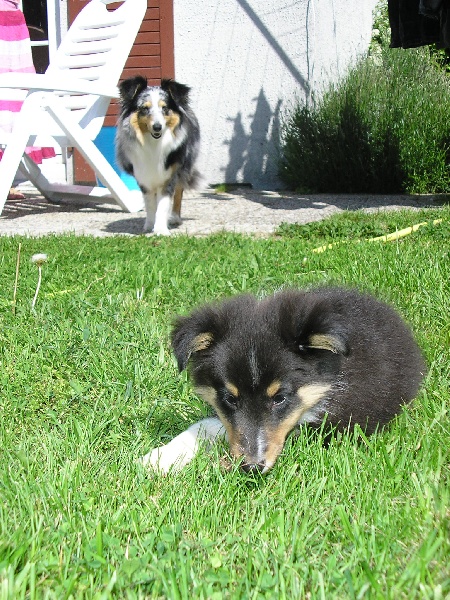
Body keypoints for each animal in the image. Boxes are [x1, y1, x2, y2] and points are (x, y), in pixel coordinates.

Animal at [116, 75, 200, 234]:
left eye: (164, 108)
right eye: (145, 108)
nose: (157, 127)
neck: (154, 143)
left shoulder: (169, 176)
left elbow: (163, 204)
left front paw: (161, 229)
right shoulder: (144, 178)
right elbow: (150, 205)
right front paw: (149, 226)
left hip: (184, 165)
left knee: (179, 192)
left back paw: (174, 218)